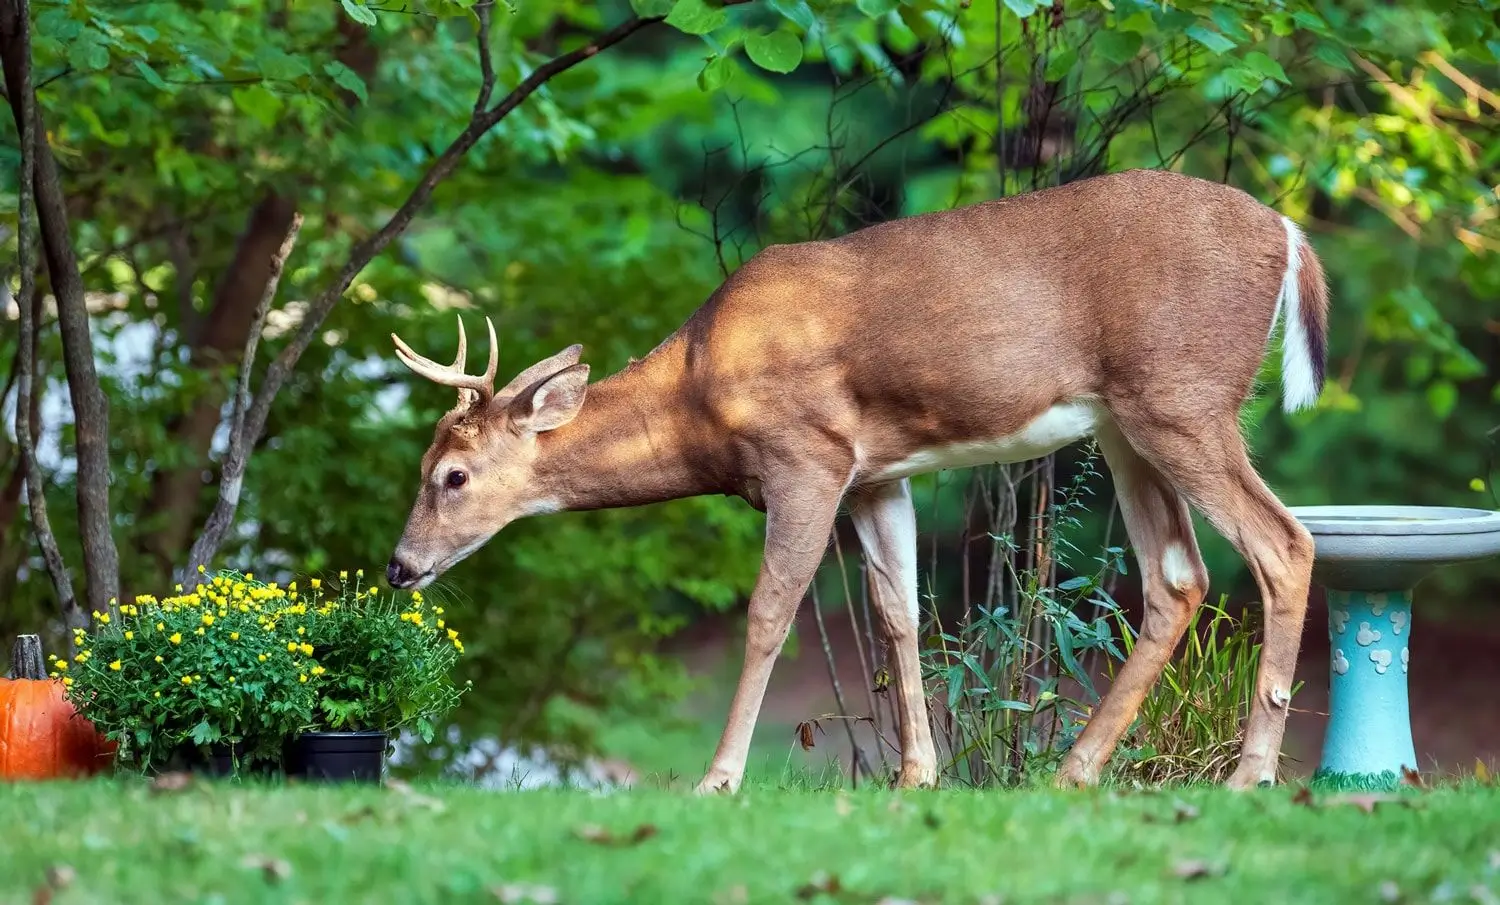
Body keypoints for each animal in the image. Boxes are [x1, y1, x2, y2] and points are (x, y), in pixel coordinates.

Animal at [384, 168, 1326, 792]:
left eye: (453, 475)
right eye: (427, 468)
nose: (399, 565)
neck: (700, 393)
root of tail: (1288, 234)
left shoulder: (807, 456)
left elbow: (770, 612)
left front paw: (719, 778)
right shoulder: (876, 475)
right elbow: (898, 612)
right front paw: (916, 776)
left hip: (1182, 397)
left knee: (1284, 542)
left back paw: (1249, 775)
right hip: (1128, 424)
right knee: (1178, 576)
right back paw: (1074, 771)